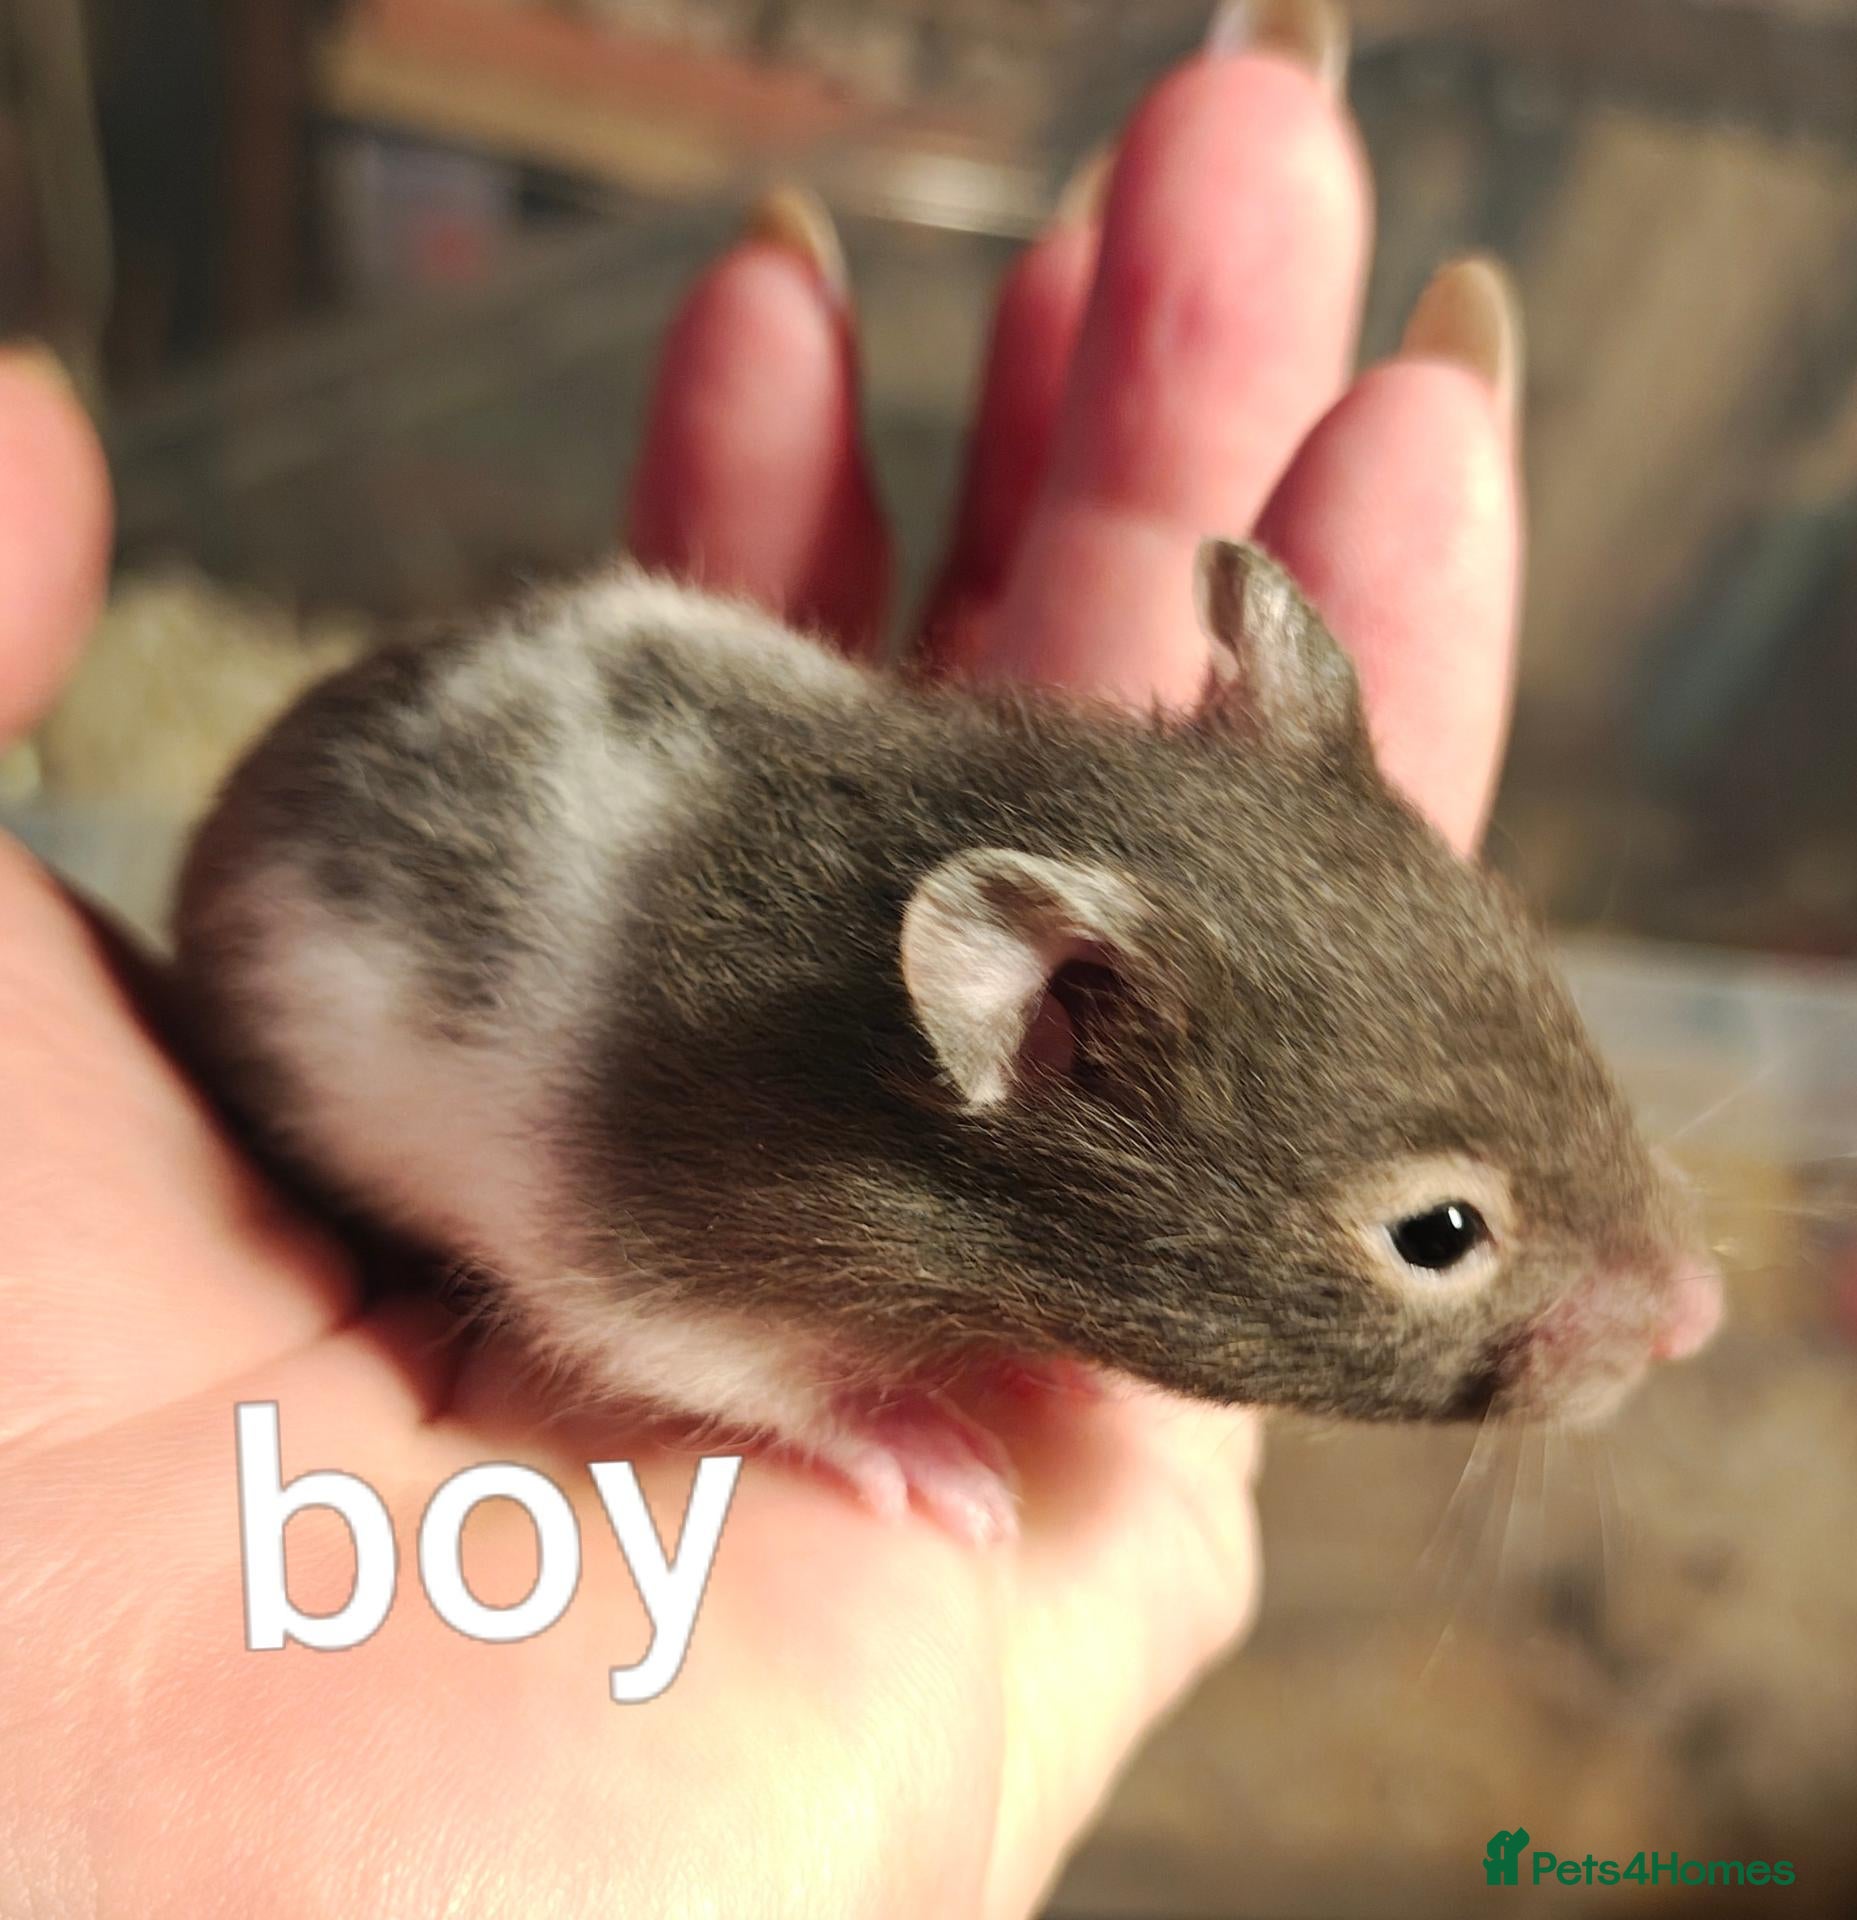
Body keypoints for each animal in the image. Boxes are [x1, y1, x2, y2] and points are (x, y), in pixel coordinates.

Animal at [173, 540, 1722, 1540]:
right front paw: (954, 1467)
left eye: (1554, 996)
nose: (1701, 1316)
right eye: (1439, 1236)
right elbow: (769, 1380)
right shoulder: (647, 1278)